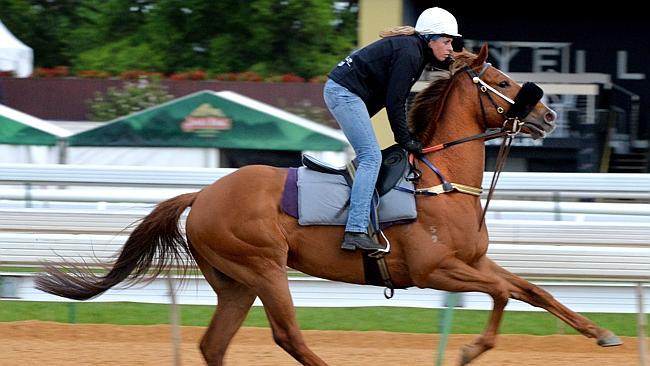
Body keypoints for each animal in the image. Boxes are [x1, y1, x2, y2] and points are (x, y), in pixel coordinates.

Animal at [34, 44, 616, 364]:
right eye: (500, 80)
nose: (549, 116)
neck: (440, 181)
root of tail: (202, 194)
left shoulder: (472, 261)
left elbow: (533, 290)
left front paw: (602, 333)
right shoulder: (435, 270)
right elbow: (500, 294)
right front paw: (471, 350)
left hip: (236, 282)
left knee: (214, 345)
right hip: (264, 268)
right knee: (287, 334)